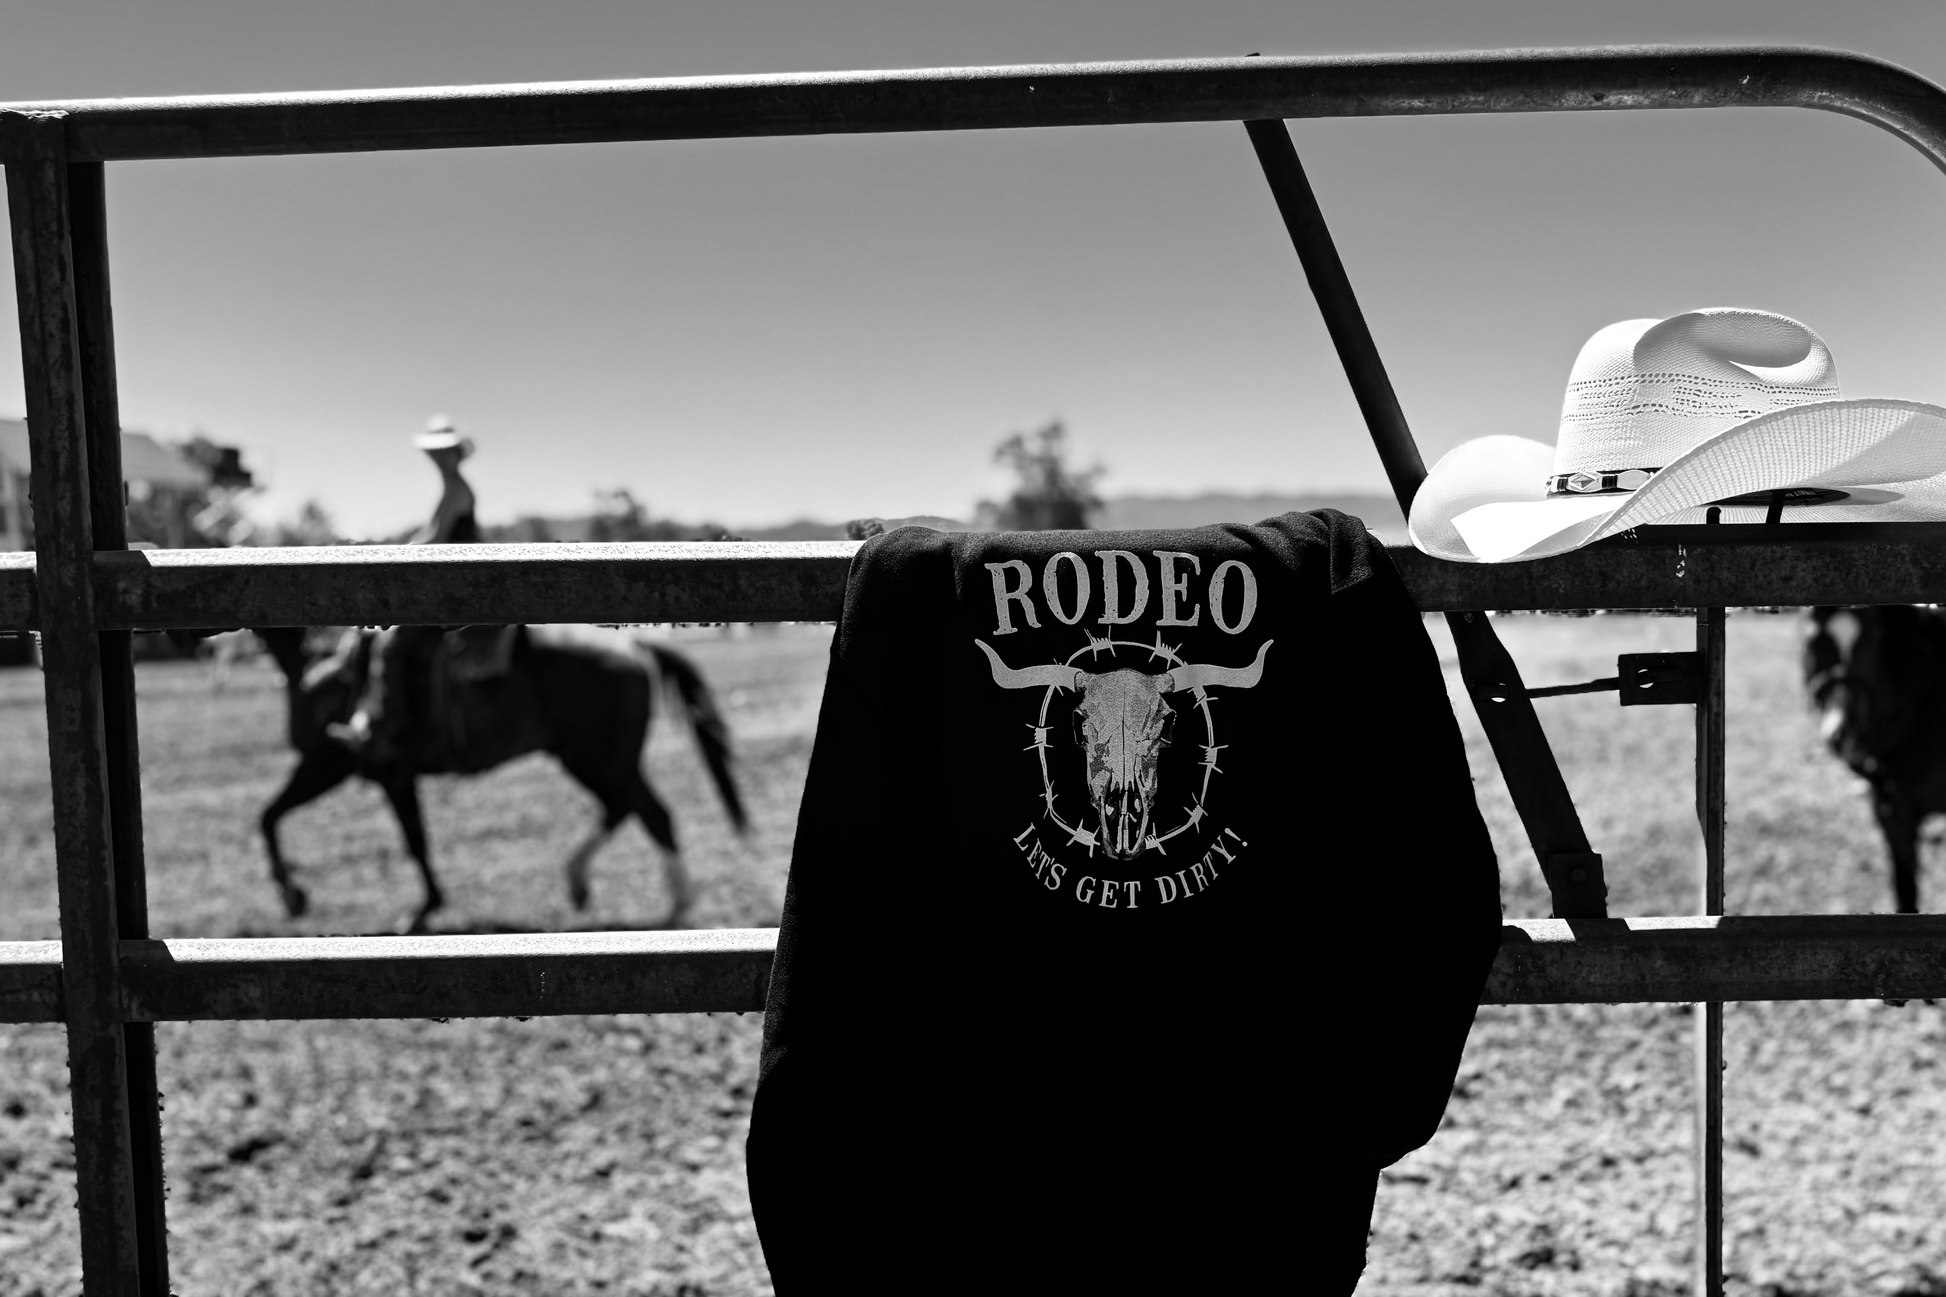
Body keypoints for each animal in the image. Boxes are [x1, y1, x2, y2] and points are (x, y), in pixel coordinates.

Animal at [253, 623, 747, 933]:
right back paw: (581, 883)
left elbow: (272, 817)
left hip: (601, 759)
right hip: (593, 760)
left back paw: (674, 905)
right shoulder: (378, 774)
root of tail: (634, 646)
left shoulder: (337, 766)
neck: (312, 667)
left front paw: (294, 893)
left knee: (651, 813)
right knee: (626, 807)